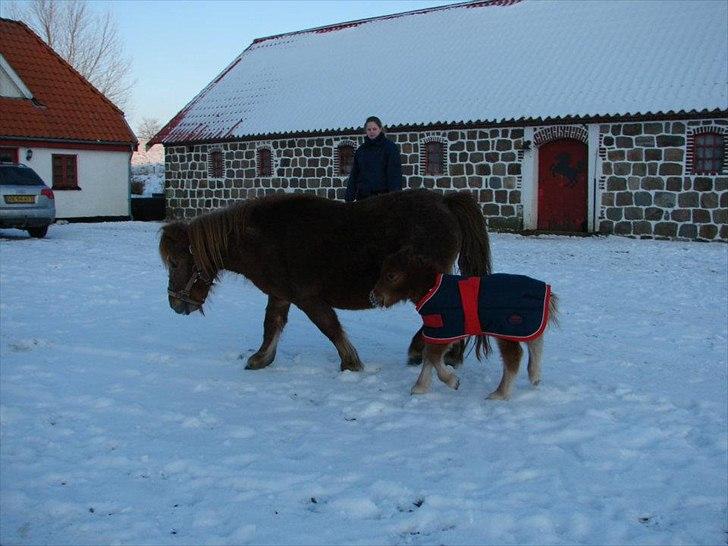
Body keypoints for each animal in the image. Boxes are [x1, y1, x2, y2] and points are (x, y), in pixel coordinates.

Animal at [158, 189, 490, 372]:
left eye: (175, 262)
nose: (175, 304)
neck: (266, 237)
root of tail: (445, 201)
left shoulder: (307, 298)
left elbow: (329, 327)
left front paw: (351, 363)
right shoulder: (281, 294)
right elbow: (271, 325)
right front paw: (261, 359)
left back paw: (423, 351)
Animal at [372, 245, 560, 396]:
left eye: (391, 275)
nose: (374, 297)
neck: (432, 288)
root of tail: (545, 292)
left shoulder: (445, 330)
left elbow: (433, 356)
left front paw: (452, 381)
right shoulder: (435, 330)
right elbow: (428, 355)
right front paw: (420, 387)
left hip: (507, 330)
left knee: (514, 357)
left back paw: (500, 394)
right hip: (524, 327)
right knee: (535, 342)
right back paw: (534, 376)